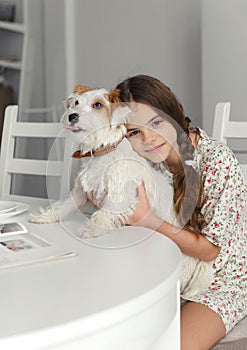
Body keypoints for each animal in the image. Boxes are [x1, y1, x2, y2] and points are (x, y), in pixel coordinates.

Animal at [29, 85, 213, 298]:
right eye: (75, 102)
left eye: (98, 105)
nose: (72, 115)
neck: (104, 152)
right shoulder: (80, 192)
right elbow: (63, 206)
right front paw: (45, 217)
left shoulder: (120, 196)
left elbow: (102, 214)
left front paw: (92, 229)